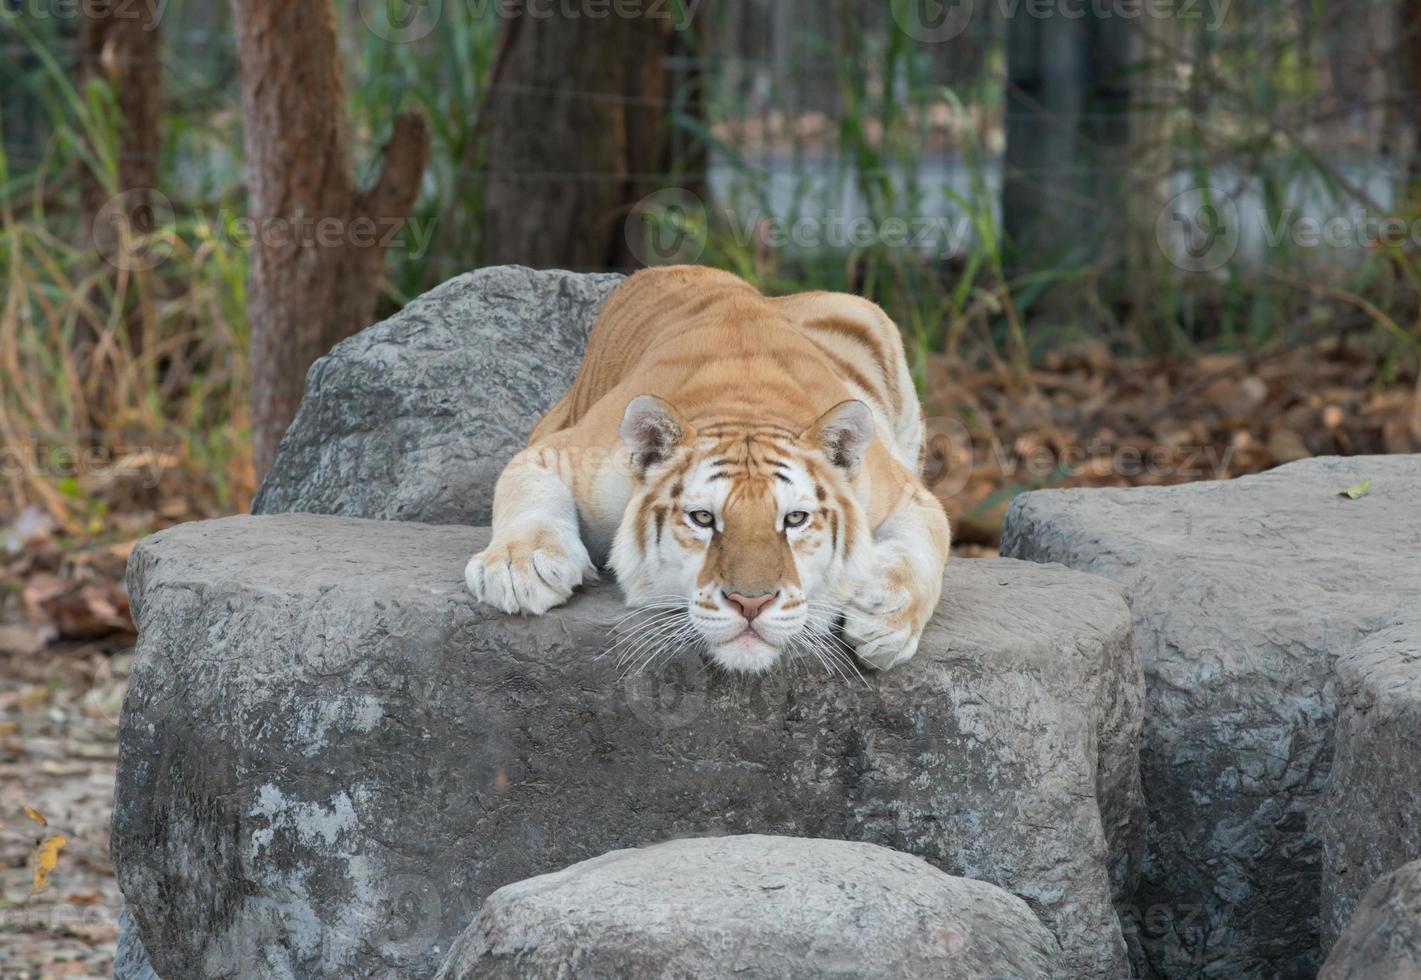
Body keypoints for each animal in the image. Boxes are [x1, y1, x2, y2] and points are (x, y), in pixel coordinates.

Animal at [468, 262, 954, 667]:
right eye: (703, 518)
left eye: (795, 519)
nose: (751, 603)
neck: (745, 405)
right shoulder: (558, 452)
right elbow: (527, 493)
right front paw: (518, 569)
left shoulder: (906, 493)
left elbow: (926, 546)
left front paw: (886, 619)